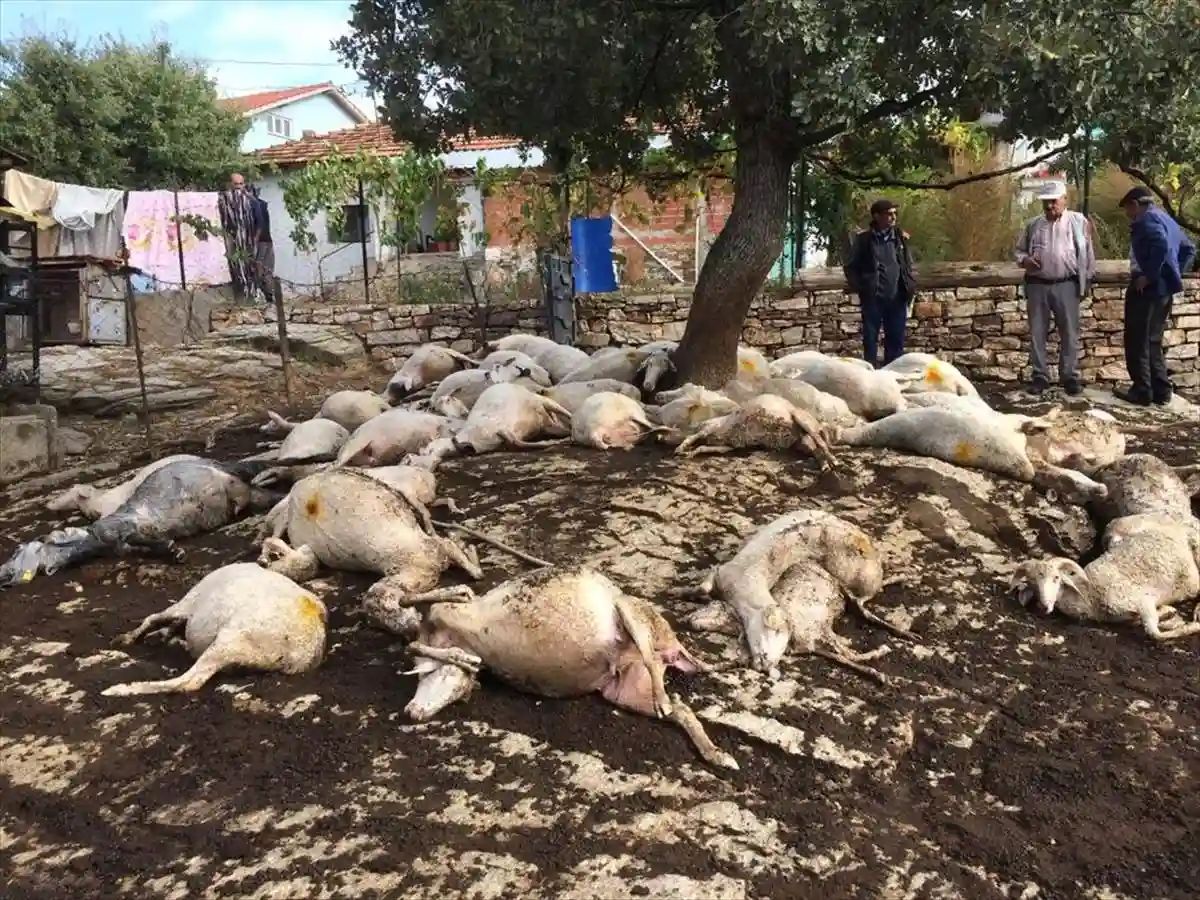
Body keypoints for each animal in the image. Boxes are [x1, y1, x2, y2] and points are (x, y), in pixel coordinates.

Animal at [100, 561, 326, 700]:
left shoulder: (188, 604)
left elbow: (152, 618)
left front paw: (126, 639)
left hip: (228, 640)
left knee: (189, 682)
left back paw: (119, 689)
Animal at [369, 566, 734, 772]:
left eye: (445, 678)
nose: (413, 713)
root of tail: (672, 642)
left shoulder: (453, 610)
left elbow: (439, 605)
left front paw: (463, 655)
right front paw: (468, 659)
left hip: (631, 611)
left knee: (654, 660)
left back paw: (667, 701)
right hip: (624, 688)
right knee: (681, 708)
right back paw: (718, 755)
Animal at [1012, 513, 1200, 643]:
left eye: (1056, 578)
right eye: (1033, 584)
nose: (1044, 606)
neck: (1090, 595)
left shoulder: (1142, 600)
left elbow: (1154, 633)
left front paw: (1188, 624)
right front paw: (1168, 612)